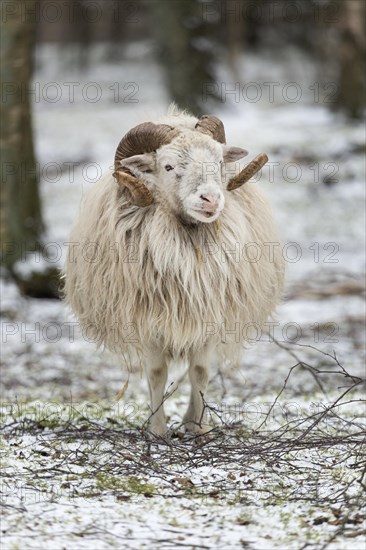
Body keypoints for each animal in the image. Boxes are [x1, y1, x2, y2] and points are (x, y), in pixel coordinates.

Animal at [64, 106, 284, 436]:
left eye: (220, 162)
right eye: (168, 166)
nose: (211, 199)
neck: (189, 246)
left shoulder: (208, 317)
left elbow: (200, 371)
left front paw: (200, 428)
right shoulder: (148, 322)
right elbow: (157, 374)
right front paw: (157, 431)